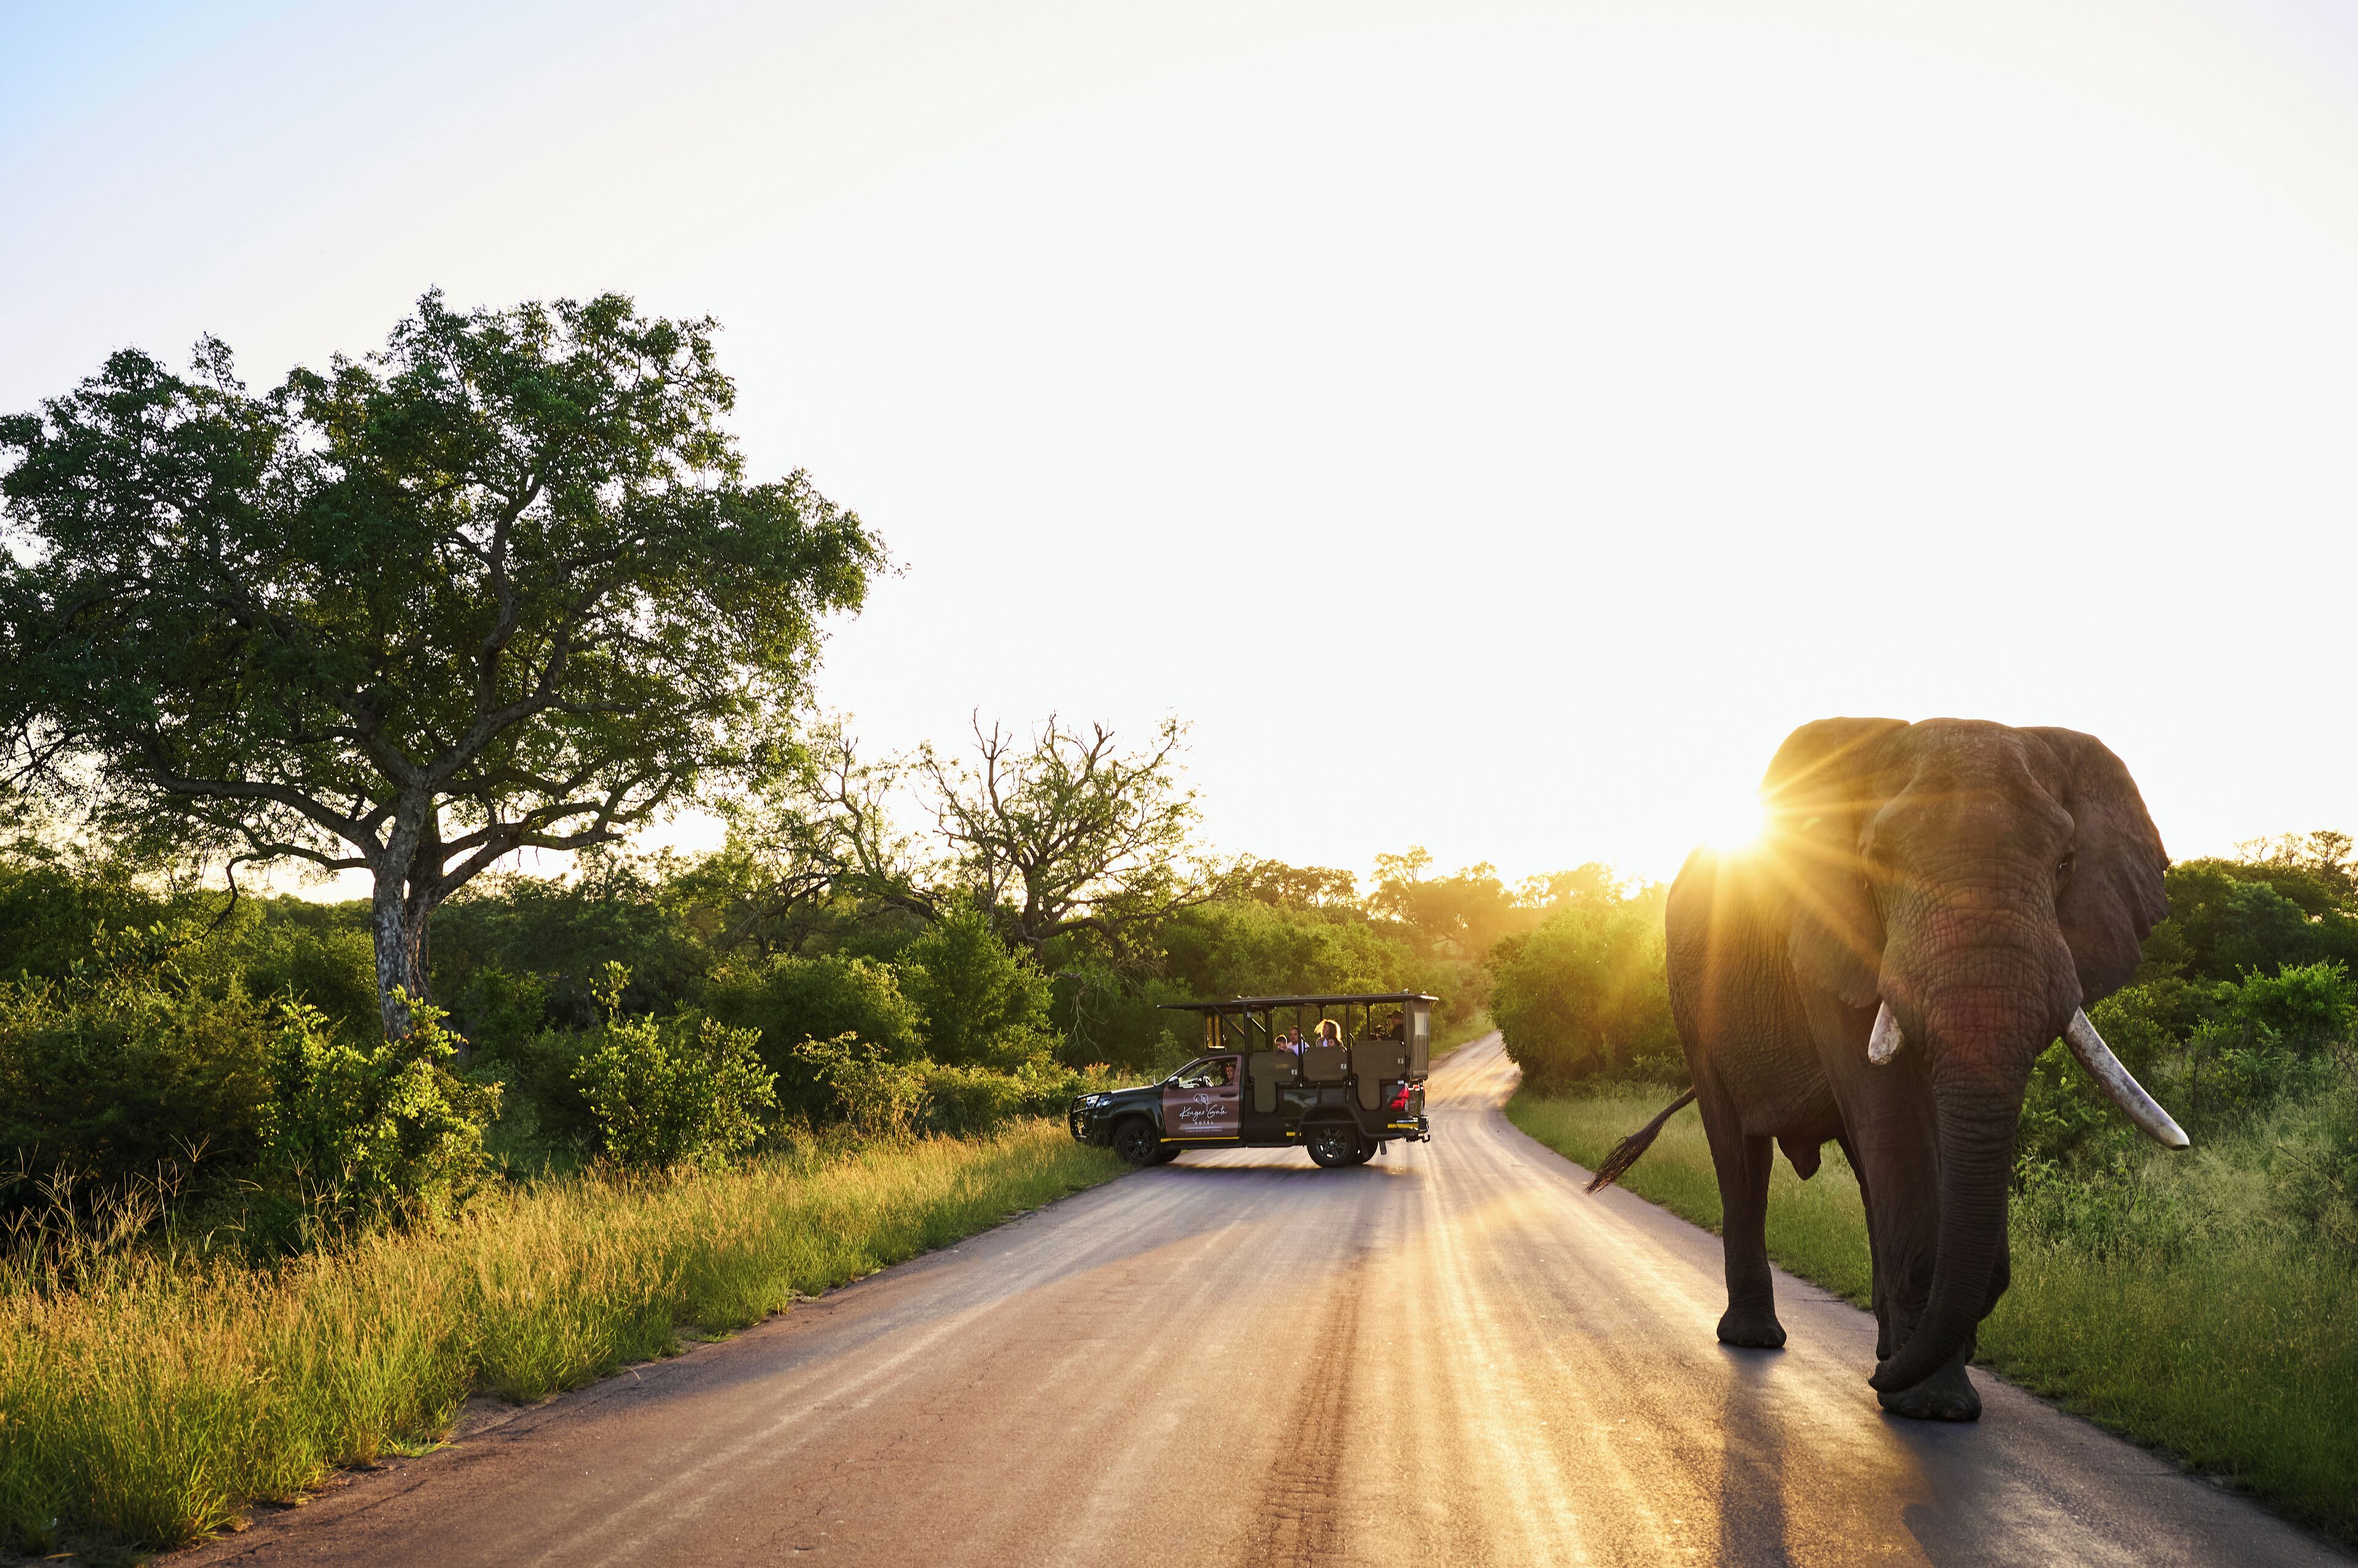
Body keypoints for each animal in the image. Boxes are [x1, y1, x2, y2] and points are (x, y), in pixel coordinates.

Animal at [1591, 718, 2188, 1421]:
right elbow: (1892, 1107)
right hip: (1693, 1006)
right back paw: (1758, 1340)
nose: (1877, 1379)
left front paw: (1928, 1380)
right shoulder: (1827, 941)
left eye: (2066, 864)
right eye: (1876, 863)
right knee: (1742, 1153)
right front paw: (1930, 1405)